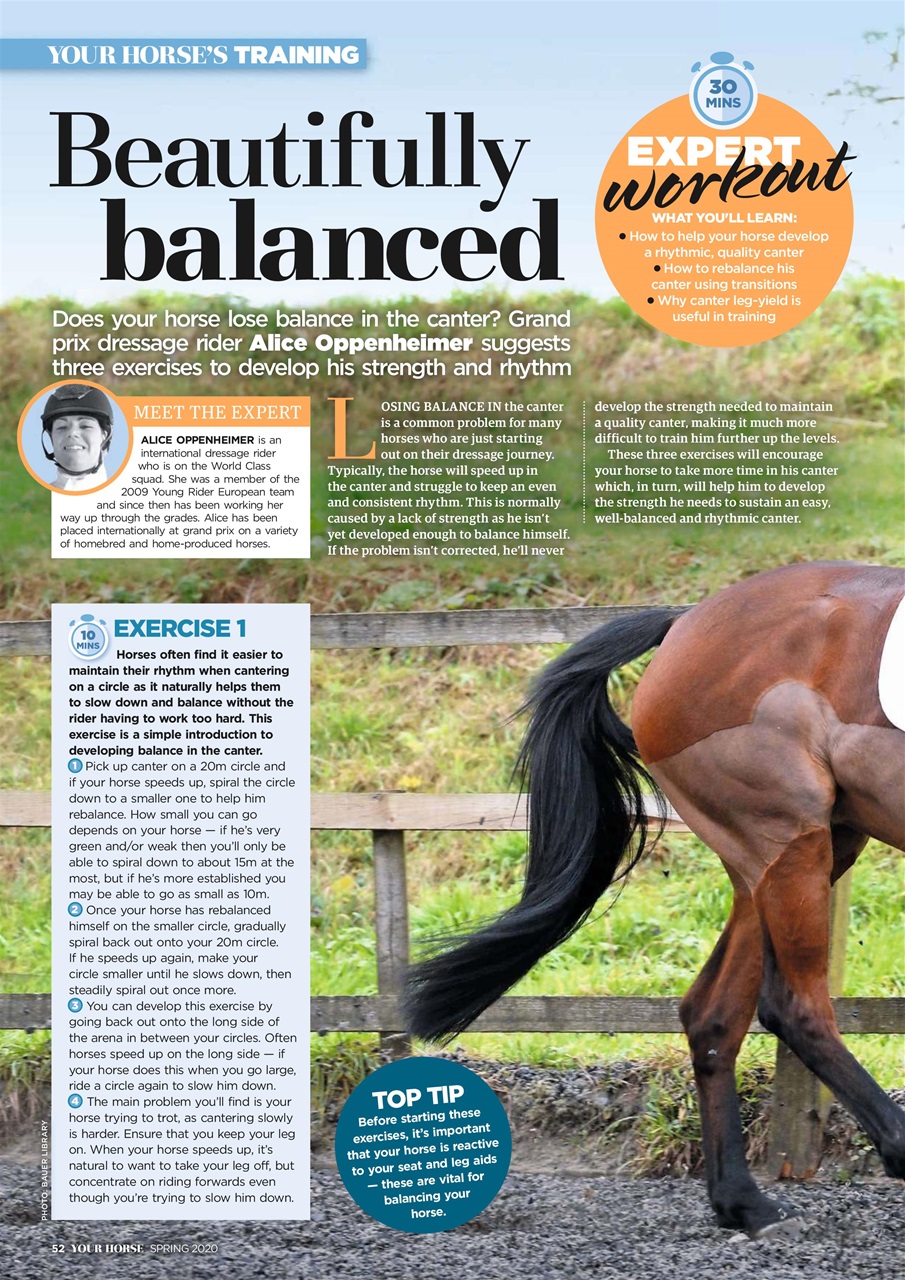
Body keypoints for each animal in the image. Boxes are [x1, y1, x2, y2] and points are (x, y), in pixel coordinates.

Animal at [405, 561, 905, 1237]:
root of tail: (686, 623)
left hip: (784, 856)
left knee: (714, 1012)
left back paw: (742, 1202)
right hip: (787, 837)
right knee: (794, 1007)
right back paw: (893, 1150)